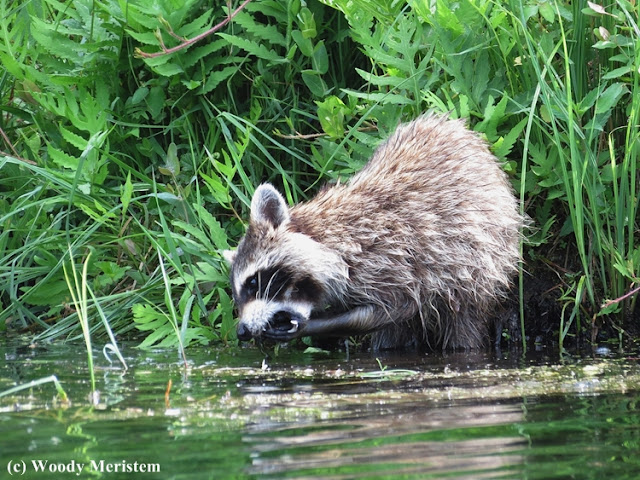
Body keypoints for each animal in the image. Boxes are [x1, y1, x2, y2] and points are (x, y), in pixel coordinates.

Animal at [223, 114, 524, 350]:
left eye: (253, 282)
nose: (241, 331)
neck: (328, 235)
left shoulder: (393, 259)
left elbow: (395, 308)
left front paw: (317, 324)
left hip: (480, 260)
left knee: (463, 324)